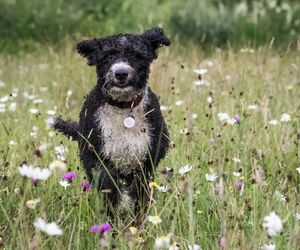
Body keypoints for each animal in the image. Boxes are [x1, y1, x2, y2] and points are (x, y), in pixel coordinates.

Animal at [53, 27, 170, 223]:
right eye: (108, 55)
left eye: (136, 54)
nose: (121, 73)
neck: (124, 110)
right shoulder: (93, 153)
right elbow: (106, 181)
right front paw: (119, 205)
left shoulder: (147, 158)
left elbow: (140, 190)